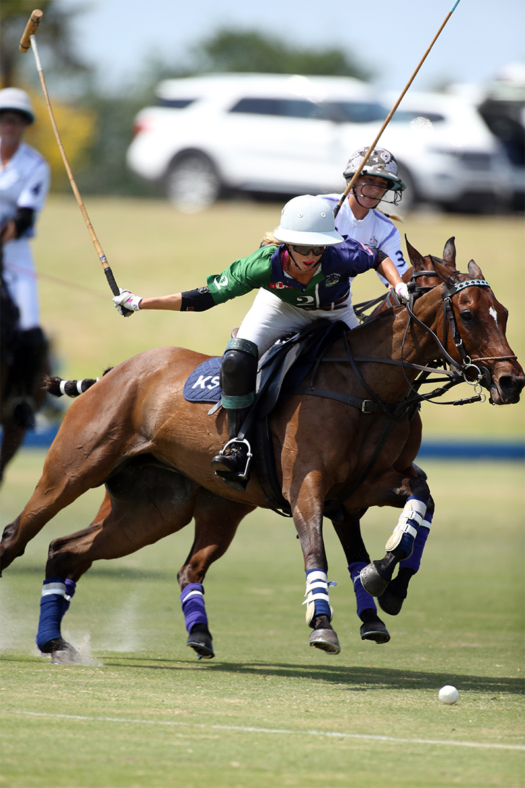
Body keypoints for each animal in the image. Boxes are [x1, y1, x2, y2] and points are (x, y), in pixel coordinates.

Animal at [0, 239, 520, 660]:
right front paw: (323, 622)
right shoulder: (308, 485)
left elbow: (419, 503)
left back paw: (58, 642)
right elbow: (316, 548)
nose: (511, 381)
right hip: (71, 473)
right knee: (18, 536)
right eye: (467, 313)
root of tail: (112, 373)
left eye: (504, 312)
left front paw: (387, 581)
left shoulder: (364, 489)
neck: (369, 386)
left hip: (156, 510)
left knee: (69, 552)